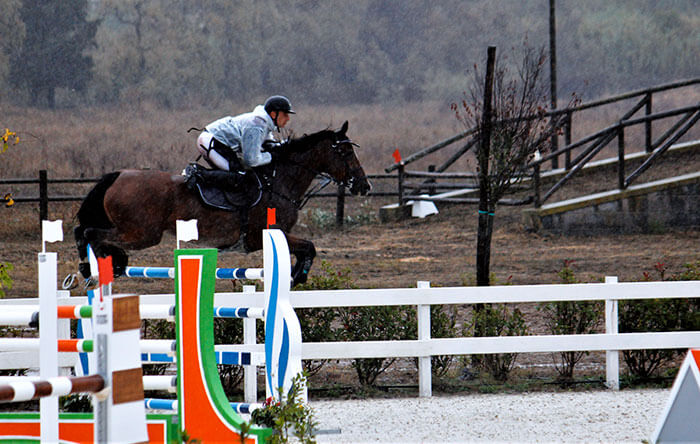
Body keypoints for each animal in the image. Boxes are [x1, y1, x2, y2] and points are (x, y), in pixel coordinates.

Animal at [73, 121, 371, 286]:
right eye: (346, 152)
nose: (364, 186)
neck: (279, 181)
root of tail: (118, 175)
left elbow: (306, 248)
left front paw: (297, 274)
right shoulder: (264, 236)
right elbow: (308, 247)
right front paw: (298, 276)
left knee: (83, 230)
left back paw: (95, 265)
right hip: (142, 233)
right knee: (91, 233)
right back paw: (106, 264)